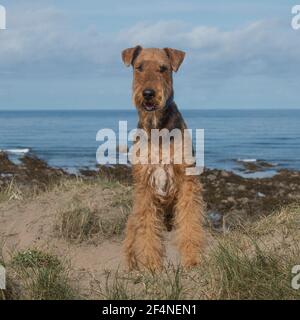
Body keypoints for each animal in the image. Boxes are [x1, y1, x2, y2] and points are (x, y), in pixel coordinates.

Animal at [121, 45, 204, 270]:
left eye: (163, 68)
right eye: (139, 67)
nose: (149, 94)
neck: (157, 127)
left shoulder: (187, 180)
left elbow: (190, 221)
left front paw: (192, 258)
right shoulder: (144, 186)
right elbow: (147, 229)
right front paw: (151, 263)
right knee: (131, 237)